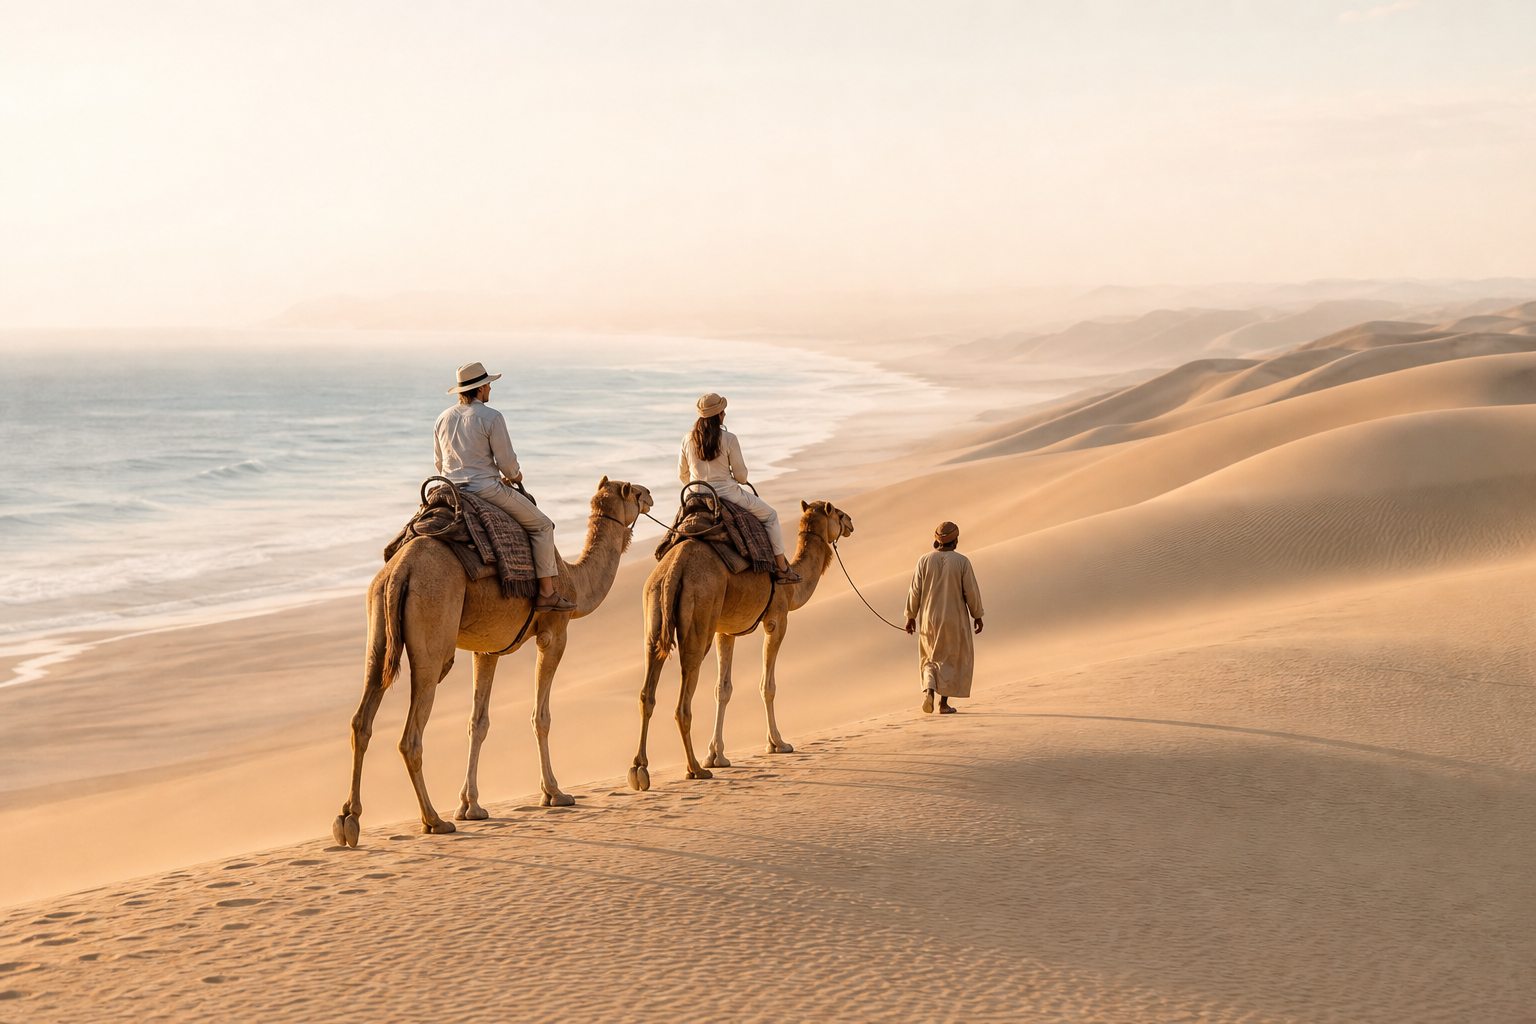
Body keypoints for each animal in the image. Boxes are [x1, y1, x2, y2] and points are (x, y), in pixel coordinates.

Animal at [332, 476, 653, 848]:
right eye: (634, 492)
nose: (651, 495)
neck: (573, 582)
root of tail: (402, 570)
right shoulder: (554, 633)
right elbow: (540, 717)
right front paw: (554, 793)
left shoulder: (487, 650)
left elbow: (478, 722)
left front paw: (470, 806)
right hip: (433, 636)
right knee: (411, 734)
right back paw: (434, 820)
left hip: (378, 626)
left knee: (361, 720)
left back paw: (348, 819)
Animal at [628, 499, 854, 791]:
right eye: (837, 512)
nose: (850, 522)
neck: (795, 585)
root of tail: (674, 569)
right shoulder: (777, 620)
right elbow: (767, 686)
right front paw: (777, 744)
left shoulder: (725, 631)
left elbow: (722, 689)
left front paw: (716, 755)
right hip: (700, 617)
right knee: (683, 700)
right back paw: (695, 769)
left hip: (653, 610)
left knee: (647, 692)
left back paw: (639, 769)